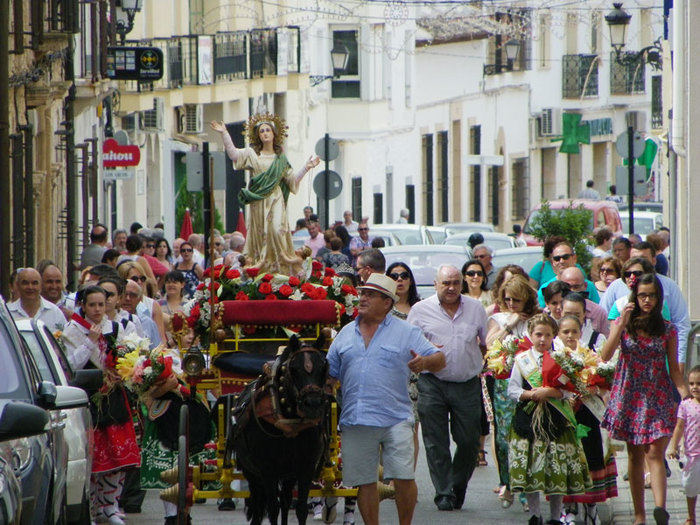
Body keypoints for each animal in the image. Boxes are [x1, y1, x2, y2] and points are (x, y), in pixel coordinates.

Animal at [228, 336, 330, 524]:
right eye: (294, 369)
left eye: (323, 367)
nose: (313, 404)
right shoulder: (268, 471)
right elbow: (272, 509)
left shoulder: (306, 468)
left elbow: (301, 509)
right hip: (251, 472)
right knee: (260, 505)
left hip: (288, 474)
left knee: (285, 500)